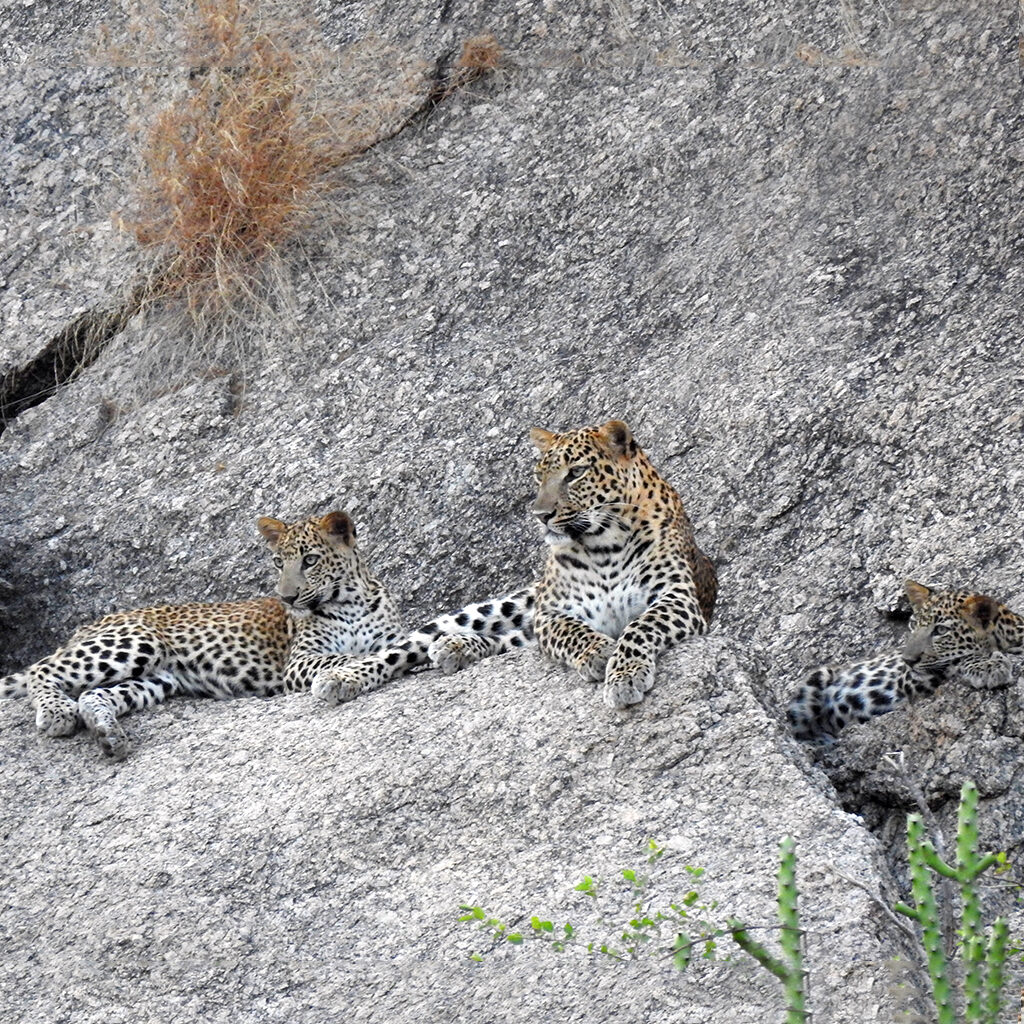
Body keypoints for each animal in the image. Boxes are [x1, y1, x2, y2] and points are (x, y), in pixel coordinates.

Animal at [0, 512, 401, 761]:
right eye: (278, 562)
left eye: (311, 560)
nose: (286, 597)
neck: (350, 601)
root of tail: (89, 624)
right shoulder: (299, 661)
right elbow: (344, 656)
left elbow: (376, 650)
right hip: (135, 642)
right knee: (43, 669)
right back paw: (57, 712)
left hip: (156, 679)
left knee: (92, 694)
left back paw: (107, 735)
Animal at [315, 419, 716, 708]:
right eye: (539, 476)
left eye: (576, 473)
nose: (540, 515)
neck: (606, 545)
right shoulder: (552, 611)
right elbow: (573, 631)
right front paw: (598, 652)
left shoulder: (675, 597)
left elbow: (637, 629)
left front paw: (624, 675)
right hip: (496, 608)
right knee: (403, 648)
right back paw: (341, 677)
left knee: (505, 641)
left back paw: (456, 648)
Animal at [786, 581, 1019, 741]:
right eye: (913, 624)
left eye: (940, 631)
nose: (907, 659)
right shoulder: (907, 678)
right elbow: (954, 660)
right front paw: (990, 666)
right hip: (816, 682)